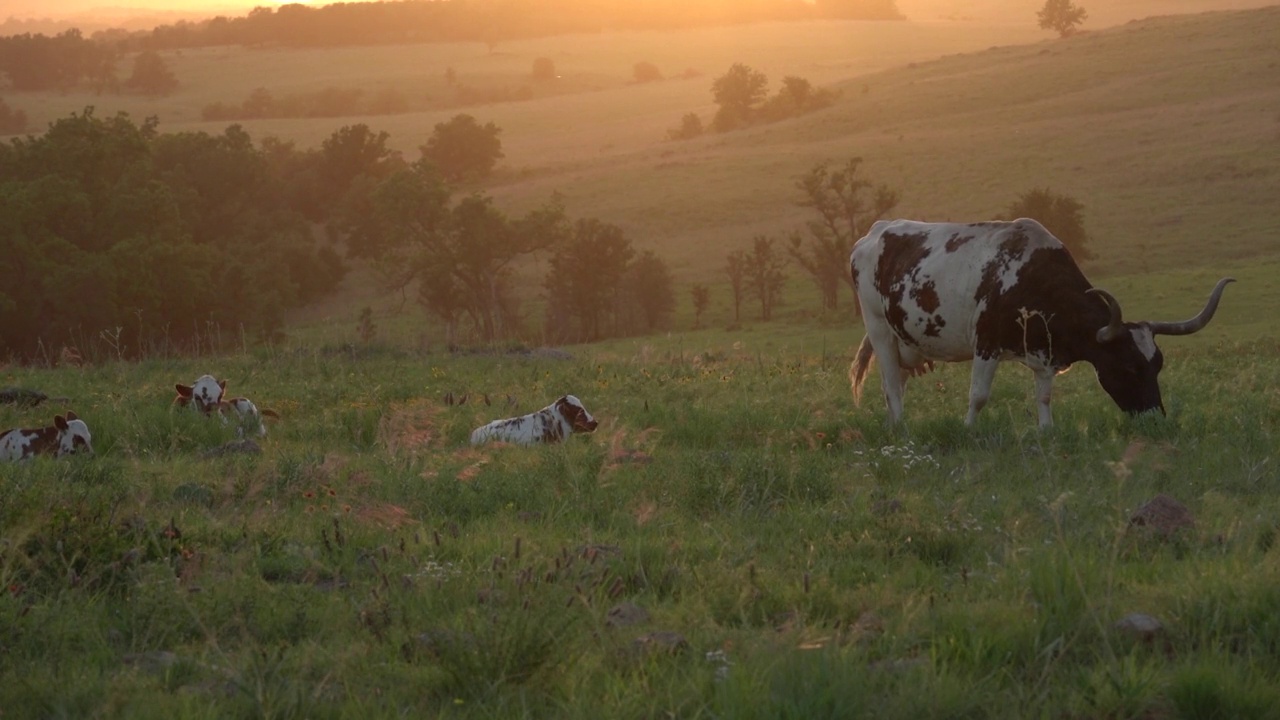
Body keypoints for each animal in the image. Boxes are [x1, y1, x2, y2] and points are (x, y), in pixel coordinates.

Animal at [849, 219, 1228, 425]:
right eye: (1129, 367)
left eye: (1156, 367)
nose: (1154, 419)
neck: (1034, 278)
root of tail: (873, 233)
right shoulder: (986, 343)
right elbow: (978, 396)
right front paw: (969, 429)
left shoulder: (1045, 352)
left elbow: (1044, 397)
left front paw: (1046, 431)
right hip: (880, 331)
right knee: (890, 387)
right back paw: (901, 428)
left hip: (906, 343)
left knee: (896, 385)